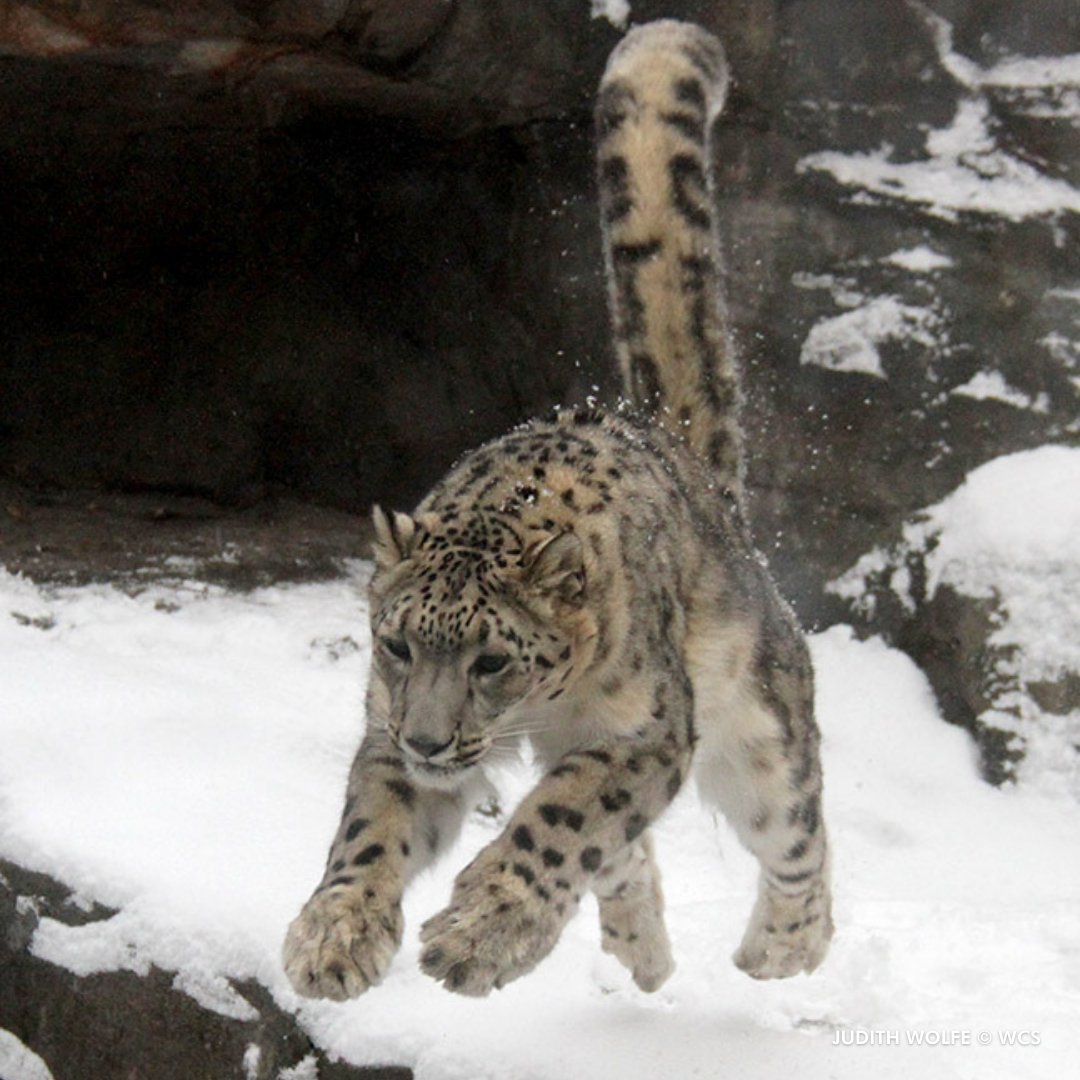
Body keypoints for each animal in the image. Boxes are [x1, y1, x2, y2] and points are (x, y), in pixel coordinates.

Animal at [282, 18, 832, 1001]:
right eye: (396, 644)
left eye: (493, 659)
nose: (431, 741)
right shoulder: (387, 726)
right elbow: (374, 829)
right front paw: (335, 936)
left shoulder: (645, 731)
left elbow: (565, 820)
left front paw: (475, 935)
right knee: (627, 855)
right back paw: (641, 951)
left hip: (760, 717)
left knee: (794, 829)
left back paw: (783, 949)